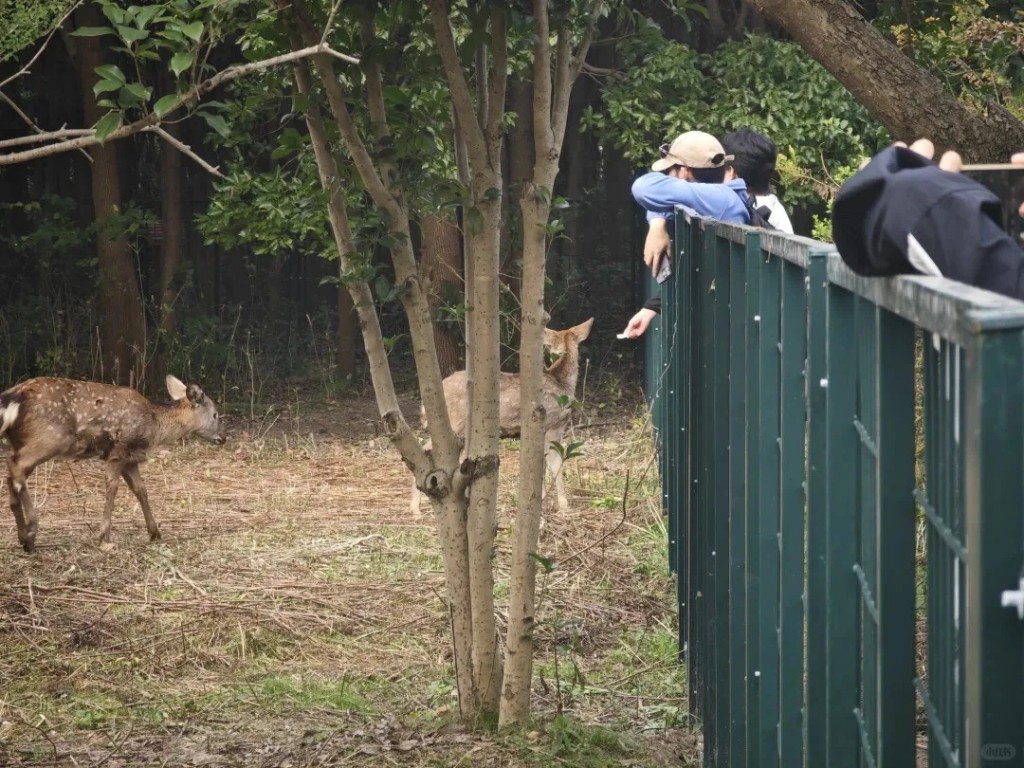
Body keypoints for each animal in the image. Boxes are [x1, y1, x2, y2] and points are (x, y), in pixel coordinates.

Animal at [0, 376, 225, 552]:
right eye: (215, 414)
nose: (223, 438)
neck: (155, 425)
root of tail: (12, 398)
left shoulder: (130, 460)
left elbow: (141, 490)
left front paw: (154, 532)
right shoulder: (119, 451)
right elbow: (113, 488)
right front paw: (104, 536)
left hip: (24, 441)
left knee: (12, 474)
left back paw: (23, 536)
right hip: (51, 437)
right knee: (15, 466)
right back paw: (31, 530)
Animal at [407, 319, 593, 518]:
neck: (562, 382)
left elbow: (541, 464)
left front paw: (541, 499)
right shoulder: (553, 425)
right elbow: (555, 464)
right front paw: (564, 505)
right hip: (457, 423)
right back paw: (417, 506)